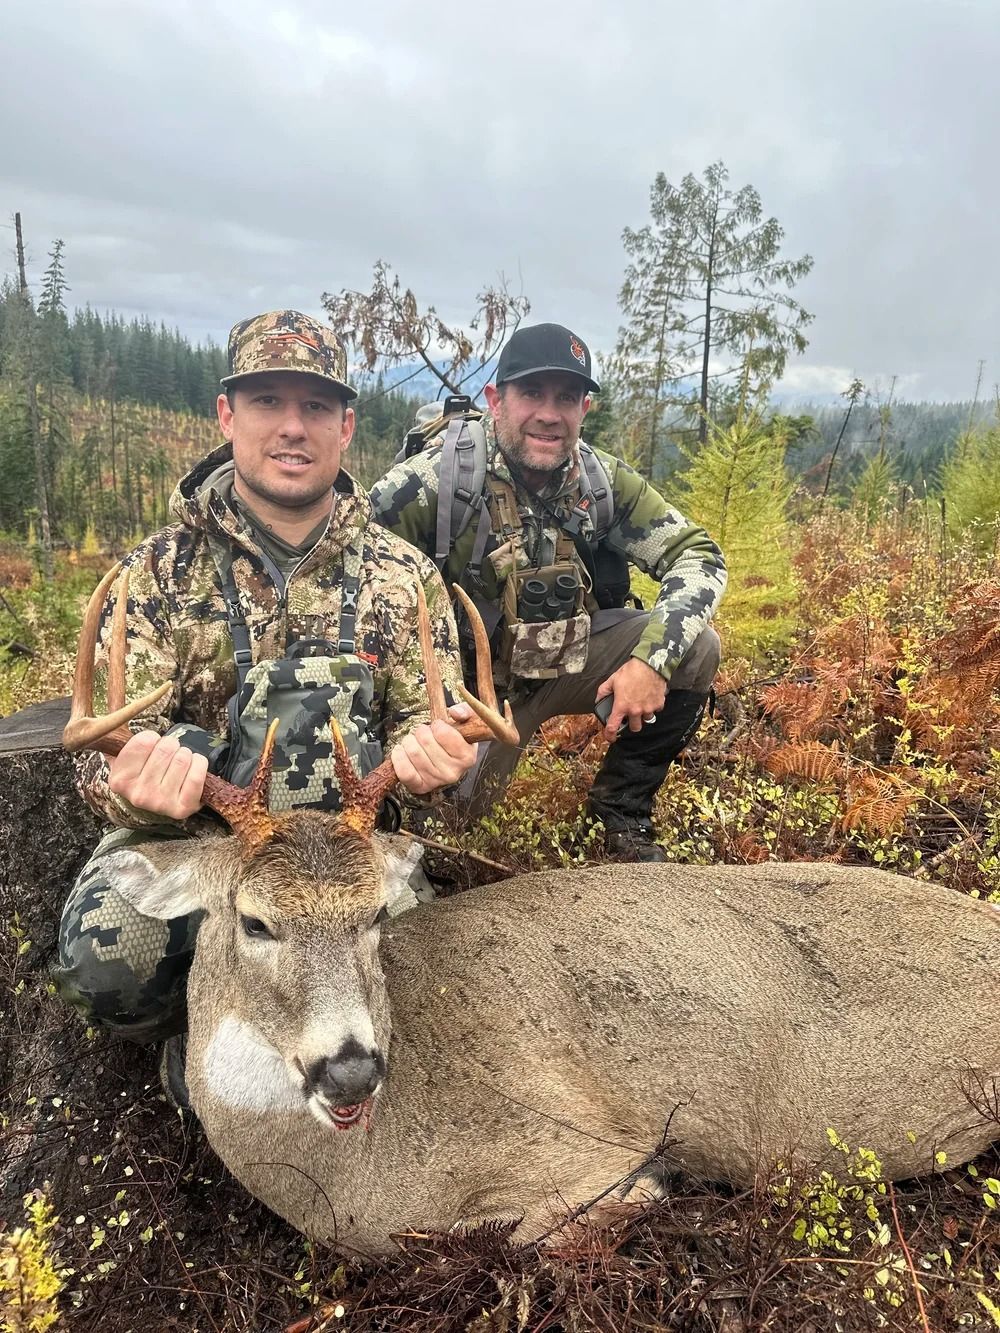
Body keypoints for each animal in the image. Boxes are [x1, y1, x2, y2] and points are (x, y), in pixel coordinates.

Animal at [62, 564, 1000, 1259]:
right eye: (254, 920)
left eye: (373, 916)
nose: (352, 1070)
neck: (354, 1176)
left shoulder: (581, 1147)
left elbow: (536, 1228)